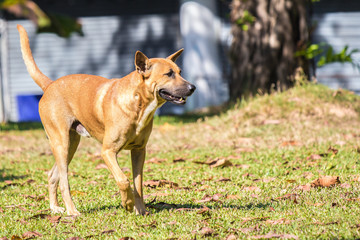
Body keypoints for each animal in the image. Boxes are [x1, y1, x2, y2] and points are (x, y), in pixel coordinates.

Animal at [16, 24, 195, 216]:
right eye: (168, 74)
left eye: (180, 72)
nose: (193, 87)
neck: (137, 103)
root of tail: (50, 85)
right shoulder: (108, 151)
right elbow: (124, 180)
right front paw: (128, 204)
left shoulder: (139, 151)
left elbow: (138, 185)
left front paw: (140, 210)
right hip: (61, 143)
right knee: (64, 181)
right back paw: (72, 211)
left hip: (71, 144)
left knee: (52, 175)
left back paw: (55, 207)